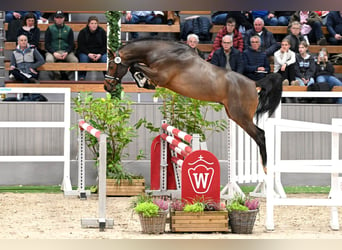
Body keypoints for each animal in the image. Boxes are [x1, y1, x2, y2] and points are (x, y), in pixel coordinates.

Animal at [105, 38, 282, 173]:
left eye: (112, 66)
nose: (107, 87)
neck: (160, 52)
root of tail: (253, 83)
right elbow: (135, 66)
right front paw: (144, 82)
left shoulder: (160, 76)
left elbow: (135, 65)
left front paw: (143, 82)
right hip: (234, 114)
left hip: (241, 116)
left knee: (260, 135)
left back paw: (266, 168)